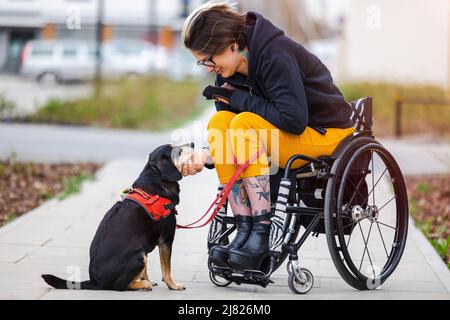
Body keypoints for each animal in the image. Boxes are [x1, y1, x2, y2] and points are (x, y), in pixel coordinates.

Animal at [40, 144, 192, 292]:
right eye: (179, 151)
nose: (193, 144)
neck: (156, 180)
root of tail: (96, 282)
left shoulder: (145, 240)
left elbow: (146, 271)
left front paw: (145, 278)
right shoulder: (166, 240)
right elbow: (167, 270)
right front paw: (173, 285)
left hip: (141, 253)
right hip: (138, 256)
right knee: (120, 286)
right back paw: (143, 285)